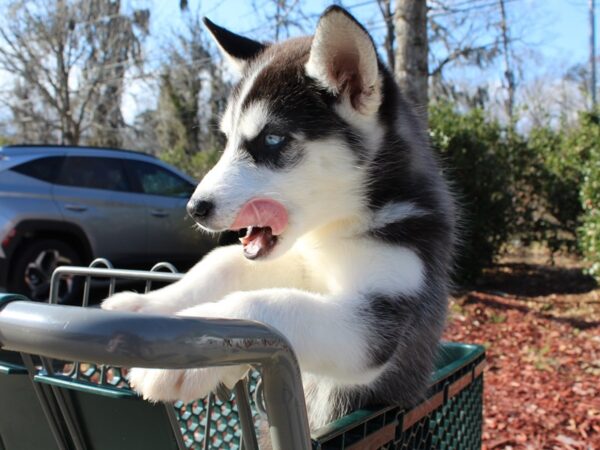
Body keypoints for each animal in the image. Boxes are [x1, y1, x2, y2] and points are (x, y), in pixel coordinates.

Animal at [103, 6, 458, 428]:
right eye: (227, 139)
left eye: (271, 139)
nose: (195, 208)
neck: (333, 232)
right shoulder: (300, 264)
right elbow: (220, 265)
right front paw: (147, 308)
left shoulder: (380, 318)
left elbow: (271, 304)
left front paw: (188, 359)